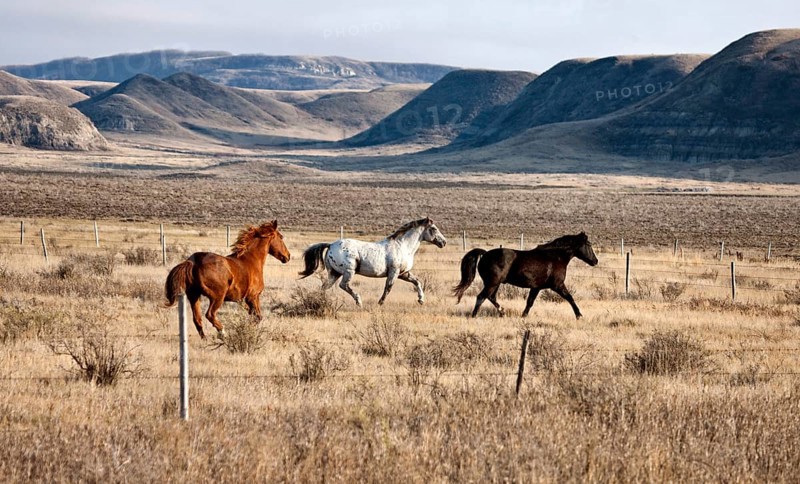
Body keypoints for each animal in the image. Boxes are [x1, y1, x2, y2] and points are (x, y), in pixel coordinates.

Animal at [299, 217, 447, 306]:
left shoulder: (403, 273)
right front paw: (380, 303)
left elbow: (417, 282)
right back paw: (358, 301)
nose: (443, 242)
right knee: (343, 285)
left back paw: (320, 300)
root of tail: (330, 245)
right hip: (348, 271)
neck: (402, 246)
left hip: (334, 273)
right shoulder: (394, 272)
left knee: (325, 286)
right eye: (434, 229)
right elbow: (388, 287)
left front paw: (421, 300)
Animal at [453, 232, 598, 318]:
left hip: (495, 283)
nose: (595, 261)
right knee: (481, 297)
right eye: (589, 244)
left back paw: (502, 311)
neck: (555, 257)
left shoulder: (536, 287)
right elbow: (570, 298)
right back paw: (474, 316)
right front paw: (579, 315)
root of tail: (485, 254)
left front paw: (524, 316)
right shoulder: (558, 285)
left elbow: (530, 302)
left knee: (490, 297)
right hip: (492, 283)